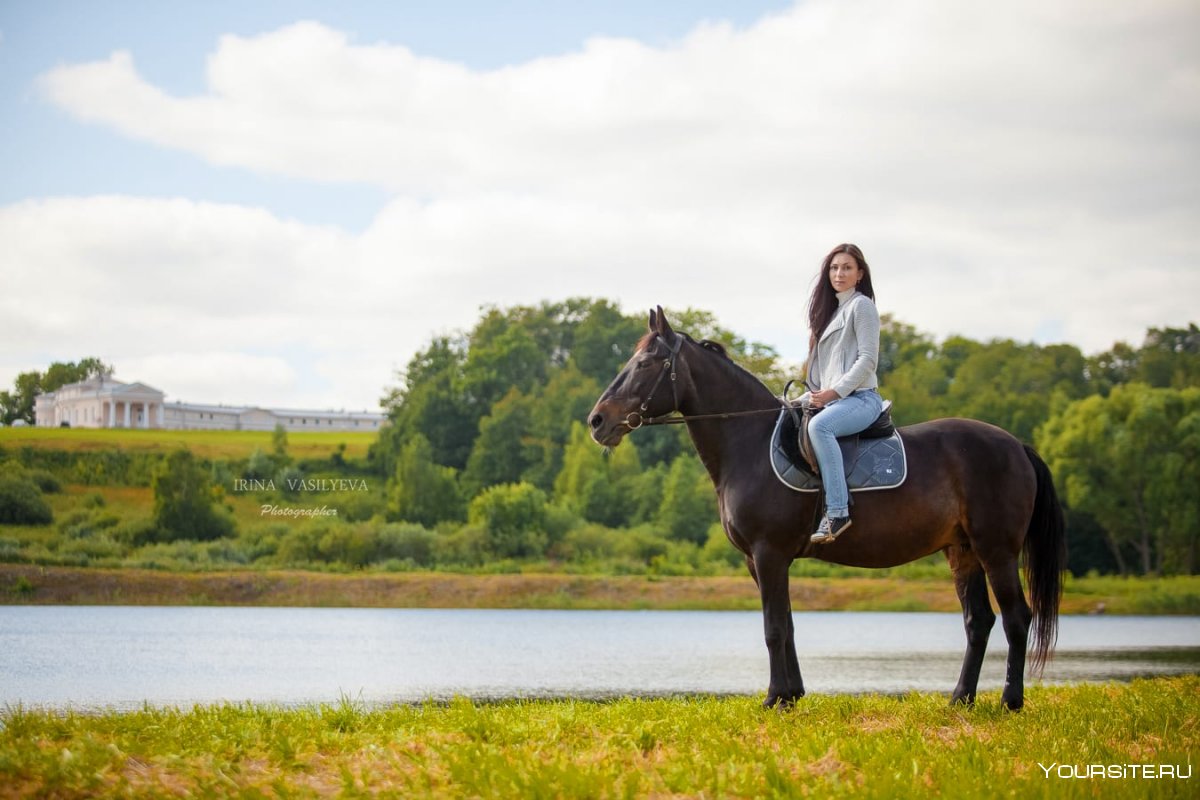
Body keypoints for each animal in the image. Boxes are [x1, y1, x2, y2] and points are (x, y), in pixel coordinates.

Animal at [585, 309, 1065, 710]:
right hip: (962, 552)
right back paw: (960, 700)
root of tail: (1016, 446)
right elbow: (787, 624)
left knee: (1017, 618)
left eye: (645, 364)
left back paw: (1010, 701)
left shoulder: (769, 553)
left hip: (996, 550)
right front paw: (792, 695)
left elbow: (773, 628)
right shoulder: (759, 561)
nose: (597, 421)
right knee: (978, 621)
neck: (749, 443)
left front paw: (774, 699)